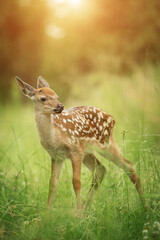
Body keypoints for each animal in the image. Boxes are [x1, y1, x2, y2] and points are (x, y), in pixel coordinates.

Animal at [16, 76, 148, 210]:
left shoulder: (75, 150)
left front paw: (77, 212)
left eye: (57, 96)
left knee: (128, 165)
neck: (54, 137)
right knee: (101, 169)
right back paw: (85, 209)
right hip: (88, 152)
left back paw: (146, 206)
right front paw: (46, 213)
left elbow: (76, 183)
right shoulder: (56, 155)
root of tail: (112, 118)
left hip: (105, 143)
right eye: (43, 98)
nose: (60, 106)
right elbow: (52, 183)